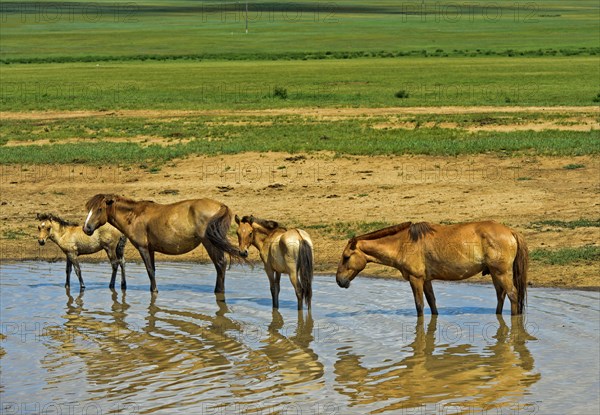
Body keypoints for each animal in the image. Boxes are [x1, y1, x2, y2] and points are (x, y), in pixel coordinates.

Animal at [82, 194, 246, 292]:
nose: (86, 228)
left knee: (220, 264)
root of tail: (221, 205)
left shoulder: (143, 248)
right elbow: (153, 270)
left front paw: (154, 291)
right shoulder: (151, 249)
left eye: (99, 209)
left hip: (210, 243)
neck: (134, 216)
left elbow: (149, 271)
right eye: (89, 209)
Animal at [336, 221, 528, 316]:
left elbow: (419, 306)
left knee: (512, 295)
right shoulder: (426, 280)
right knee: (501, 296)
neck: (402, 243)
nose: (339, 281)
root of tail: (511, 232)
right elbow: (432, 303)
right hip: (496, 274)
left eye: (346, 257)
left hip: (502, 273)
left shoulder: (416, 279)